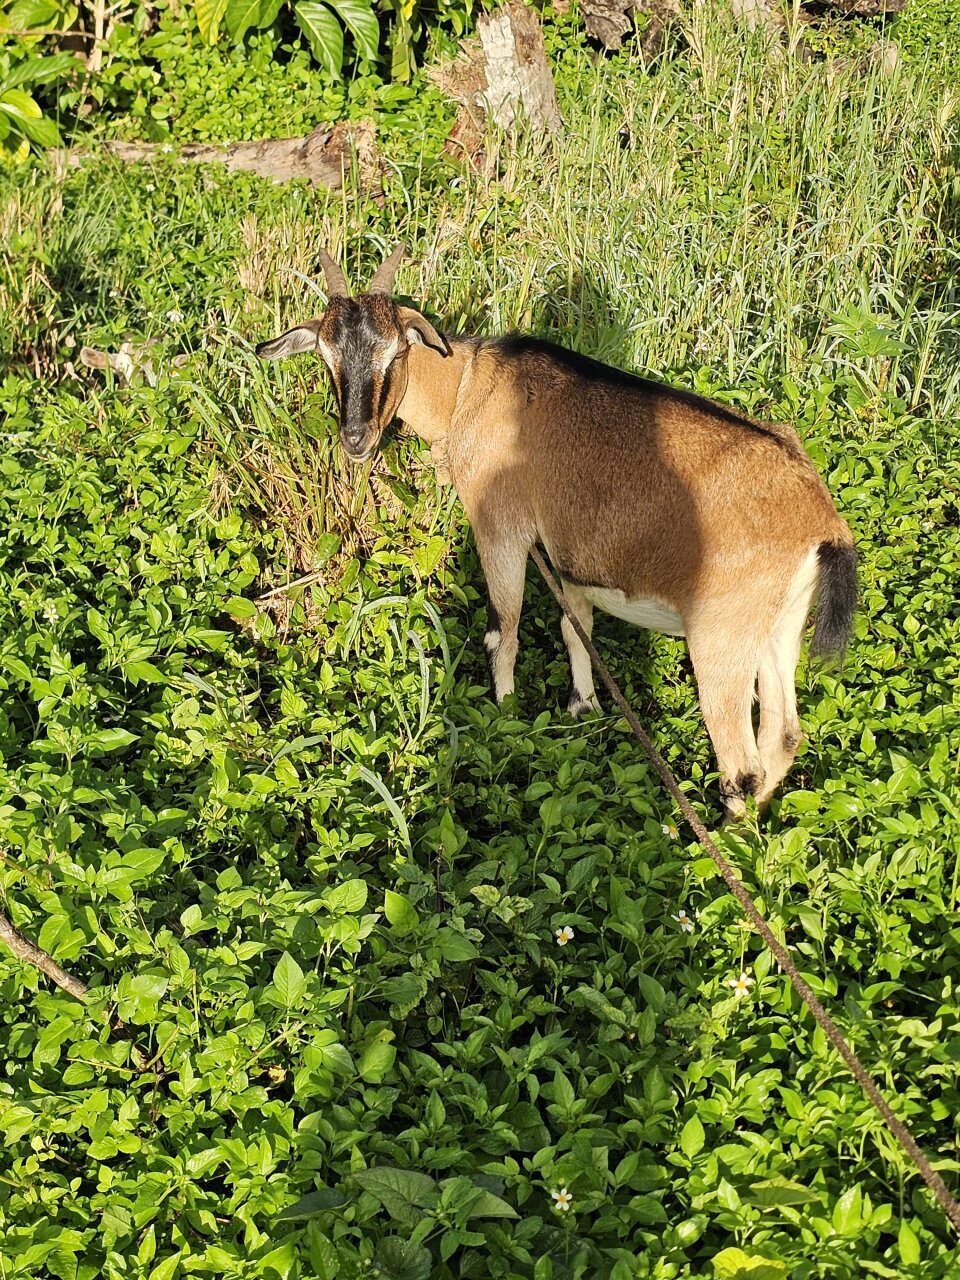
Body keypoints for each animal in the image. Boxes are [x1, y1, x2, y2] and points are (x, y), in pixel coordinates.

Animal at [257, 246, 857, 818]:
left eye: (395, 351)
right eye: (326, 355)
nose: (356, 438)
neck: (468, 388)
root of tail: (820, 521)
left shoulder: (502, 528)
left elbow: (504, 630)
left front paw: (502, 718)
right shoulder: (567, 550)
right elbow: (576, 628)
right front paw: (582, 707)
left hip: (721, 637)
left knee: (742, 765)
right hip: (779, 627)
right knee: (783, 735)